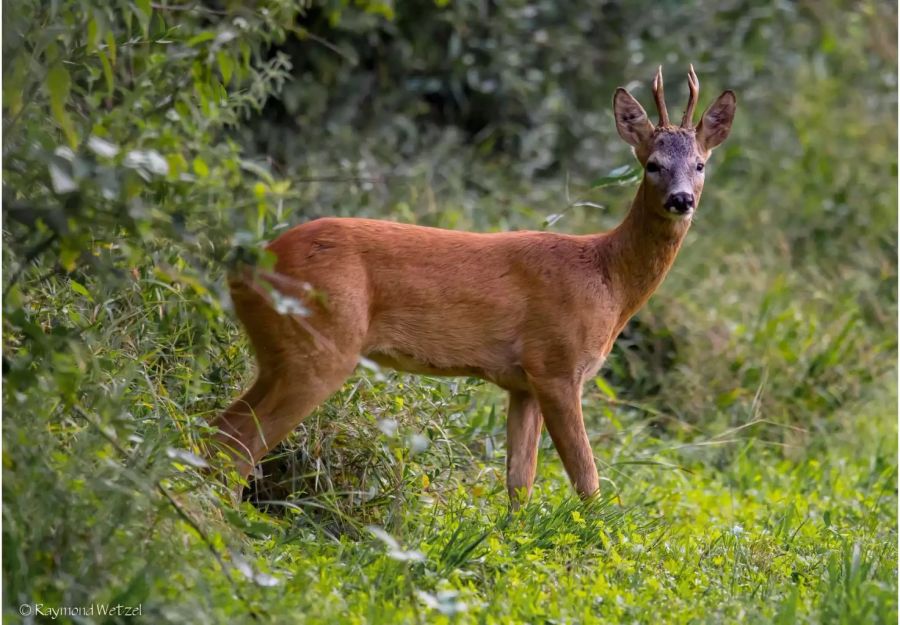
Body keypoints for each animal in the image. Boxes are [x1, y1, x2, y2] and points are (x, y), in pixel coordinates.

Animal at [214, 67, 736, 508]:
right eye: (652, 164)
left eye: (700, 165)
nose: (681, 200)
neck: (607, 280)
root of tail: (247, 266)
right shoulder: (557, 364)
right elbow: (588, 480)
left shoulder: (523, 382)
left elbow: (520, 483)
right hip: (320, 346)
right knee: (238, 442)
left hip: (279, 353)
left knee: (220, 429)